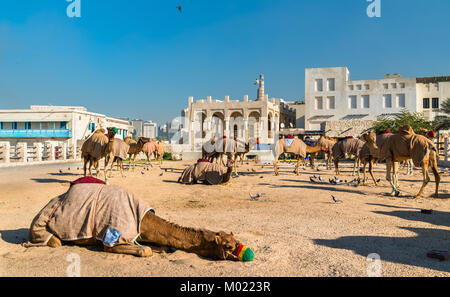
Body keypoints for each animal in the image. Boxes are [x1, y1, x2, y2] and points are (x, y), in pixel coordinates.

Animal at [23, 177, 253, 260]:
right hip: (42, 226)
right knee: (53, 241)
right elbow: (144, 250)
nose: (248, 252)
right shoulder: (114, 234)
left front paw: (164, 249)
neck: (144, 222)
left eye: (237, 241)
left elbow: (159, 245)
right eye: (229, 246)